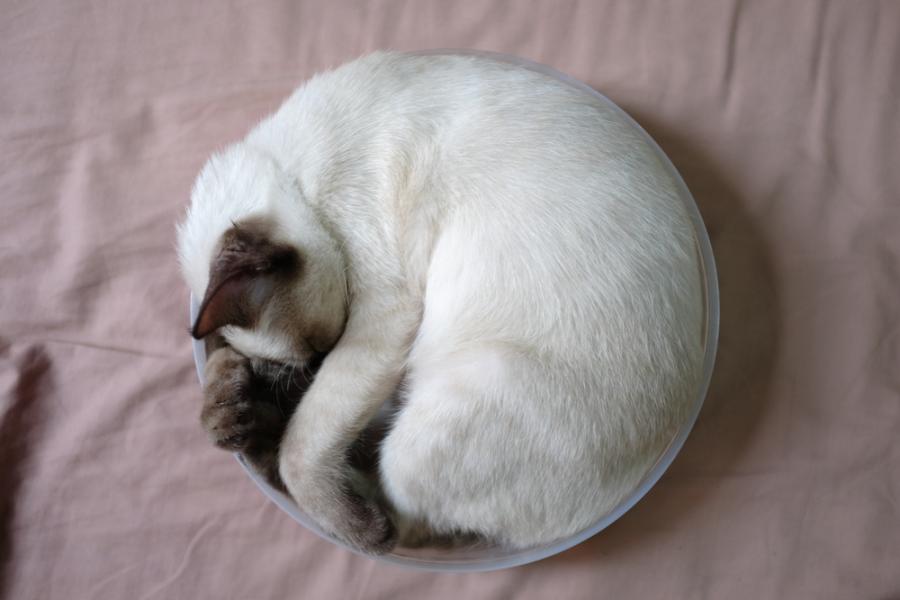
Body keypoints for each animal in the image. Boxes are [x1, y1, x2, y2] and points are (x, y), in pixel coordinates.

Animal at [177, 51, 704, 555]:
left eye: (318, 349)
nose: (315, 364)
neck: (299, 180)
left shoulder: (382, 318)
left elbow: (303, 443)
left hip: (439, 415)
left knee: (402, 523)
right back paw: (233, 413)